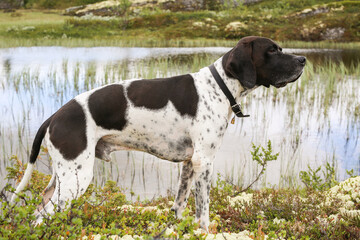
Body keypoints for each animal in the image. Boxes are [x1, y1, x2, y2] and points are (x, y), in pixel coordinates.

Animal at [11, 35, 306, 229]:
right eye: (272, 51)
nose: (303, 59)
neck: (219, 86)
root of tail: (54, 115)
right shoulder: (204, 162)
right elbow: (203, 212)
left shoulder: (189, 164)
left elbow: (179, 206)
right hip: (76, 179)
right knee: (41, 218)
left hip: (62, 176)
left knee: (38, 210)